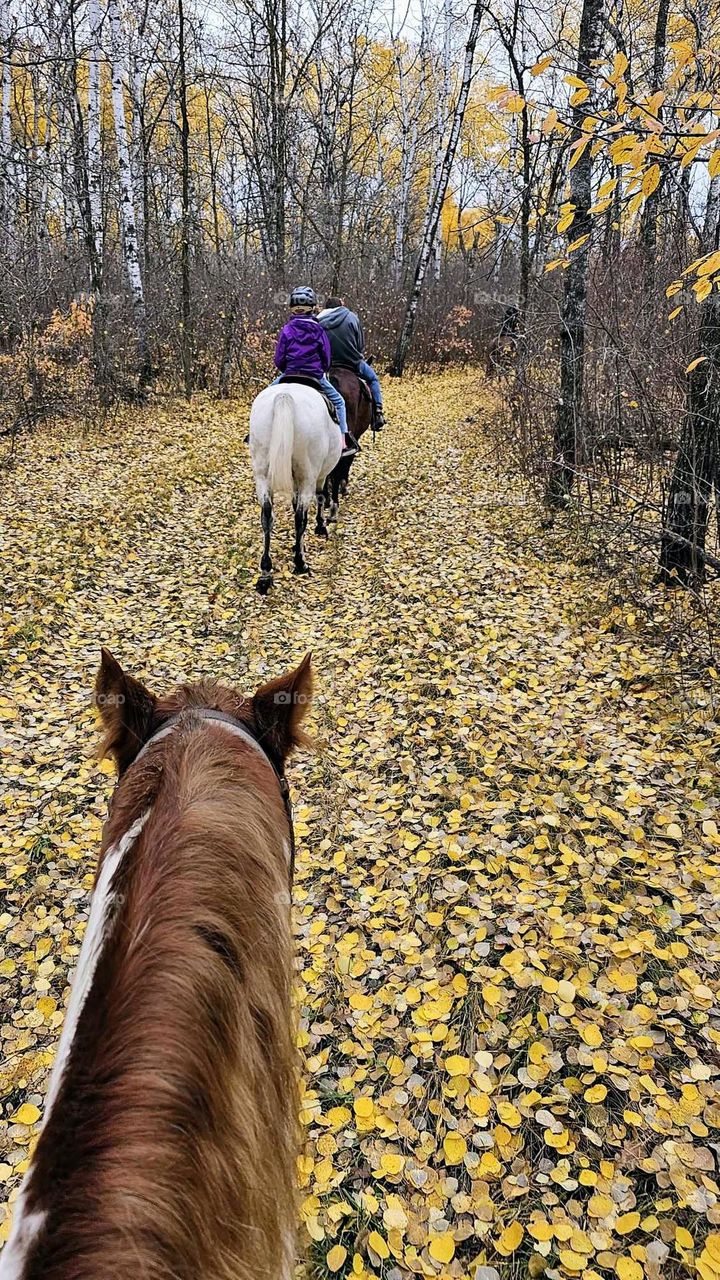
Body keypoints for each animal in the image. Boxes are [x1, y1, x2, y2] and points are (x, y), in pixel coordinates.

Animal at [249, 381, 340, 591]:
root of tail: (284, 396)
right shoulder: (319, 476)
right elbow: (321, 496)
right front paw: (320, 526)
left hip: (262, 475)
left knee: (267, 515)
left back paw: (265, 571)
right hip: (308, 475)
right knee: (300, 517)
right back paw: (300, 563)